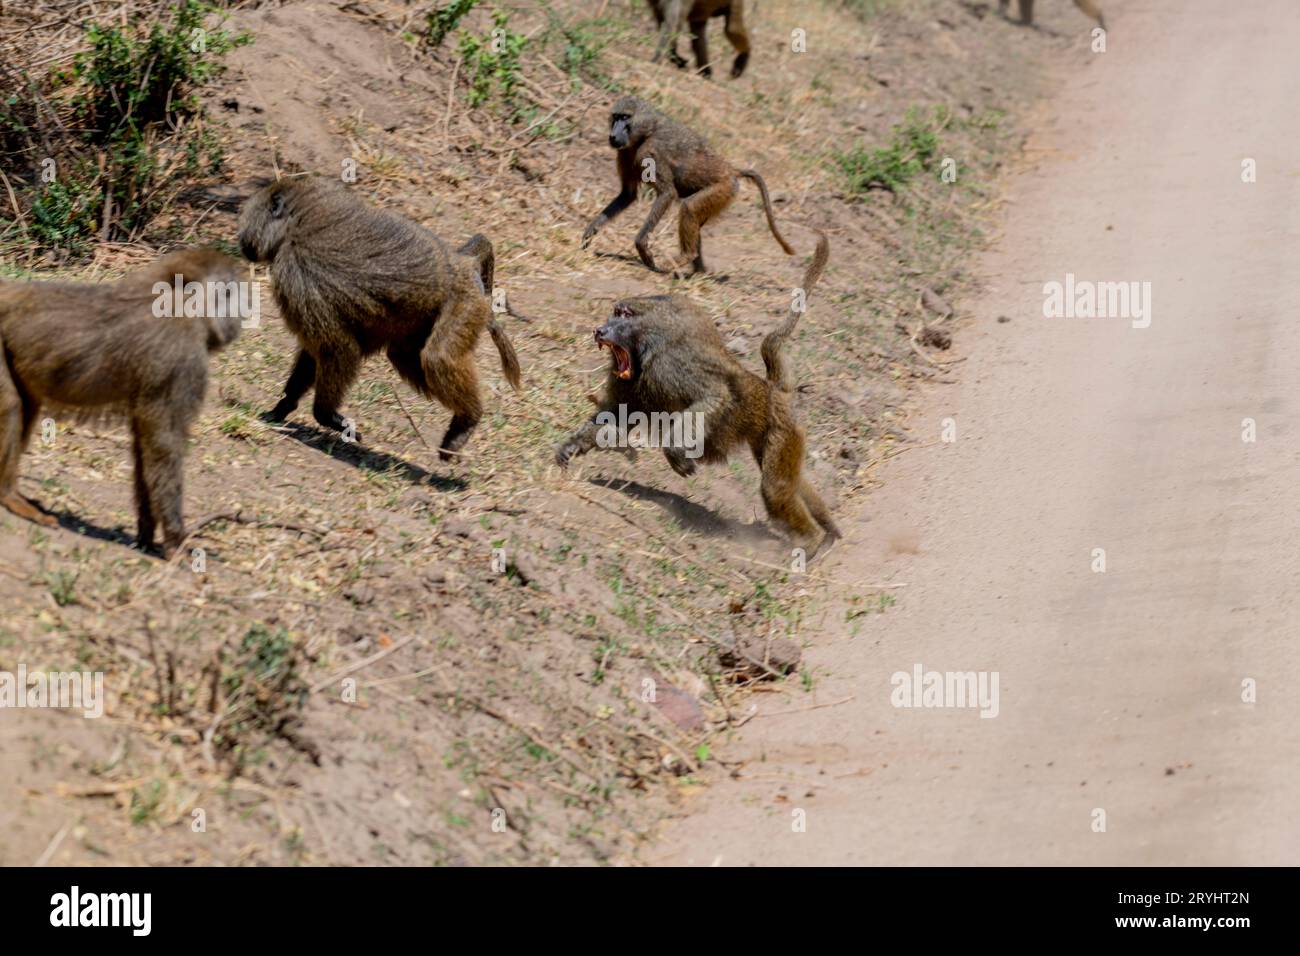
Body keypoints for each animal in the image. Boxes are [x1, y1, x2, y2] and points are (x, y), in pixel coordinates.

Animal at [0, 249, 245, 558]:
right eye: (232, 293)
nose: (240, 319)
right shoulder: (182, 356)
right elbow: (164, 447)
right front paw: (176, 541)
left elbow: (145, 448)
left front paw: (147, 535)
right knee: (11, 406)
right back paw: (9, 495)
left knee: (26, 405)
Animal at [237, 176, 521, 461]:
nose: (241, 240)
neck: (297, 220)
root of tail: (466, 266)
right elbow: (317, 352)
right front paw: (281, 408)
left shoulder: (296, 273)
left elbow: (338, 348)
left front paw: (327, 416)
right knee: (405, 356)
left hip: (464, 303)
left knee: (437, 358)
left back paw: (468, 421)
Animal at [556, 230, 839, 554]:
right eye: (614, 313)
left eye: (624, 314)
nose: (600, 330)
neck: (648, 346)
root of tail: (769, 389)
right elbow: (614, 416)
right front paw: (571, 446)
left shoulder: (670, 365)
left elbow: (715, 395)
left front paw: (676, 453)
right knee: (791, 483)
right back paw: (829, 533)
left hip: (781, 426)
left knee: (775, 488)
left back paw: (811, 544)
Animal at [581, 96, 794, 278]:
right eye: (615, 117)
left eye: (625, 117)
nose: (613, 136)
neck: (647, 132)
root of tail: (731, 170)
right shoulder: (625, 153)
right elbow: (628, 194)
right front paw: (590, 231)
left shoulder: (652, 151)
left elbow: (667, 193)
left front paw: (642, 247)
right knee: (695, 218)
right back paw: (699, 269)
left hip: (722, 189)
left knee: (689, 208)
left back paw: (687, 256)